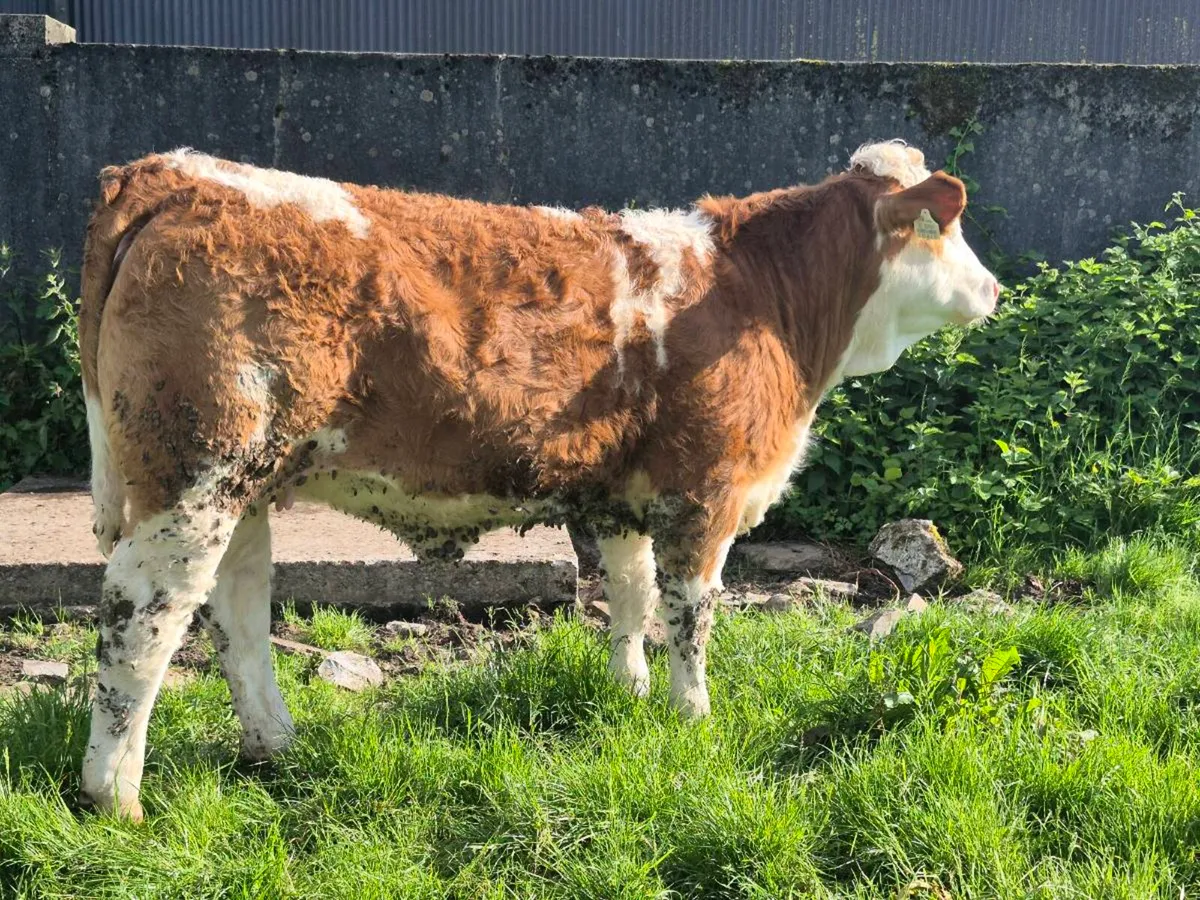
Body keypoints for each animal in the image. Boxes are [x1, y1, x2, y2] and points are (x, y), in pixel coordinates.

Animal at [76, 139, 1000, 819]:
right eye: (941, 229)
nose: (992, 288)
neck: (763, 295)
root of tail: (173, 172)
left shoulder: (626, 496)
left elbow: (630, 594)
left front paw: (630, 691)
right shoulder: (706, 491)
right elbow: (692, 614)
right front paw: (693, 714)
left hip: (247, 482)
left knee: (237, 610)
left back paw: (276, 743)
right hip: (194, 473)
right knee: (144, 617)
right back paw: (116, 795)